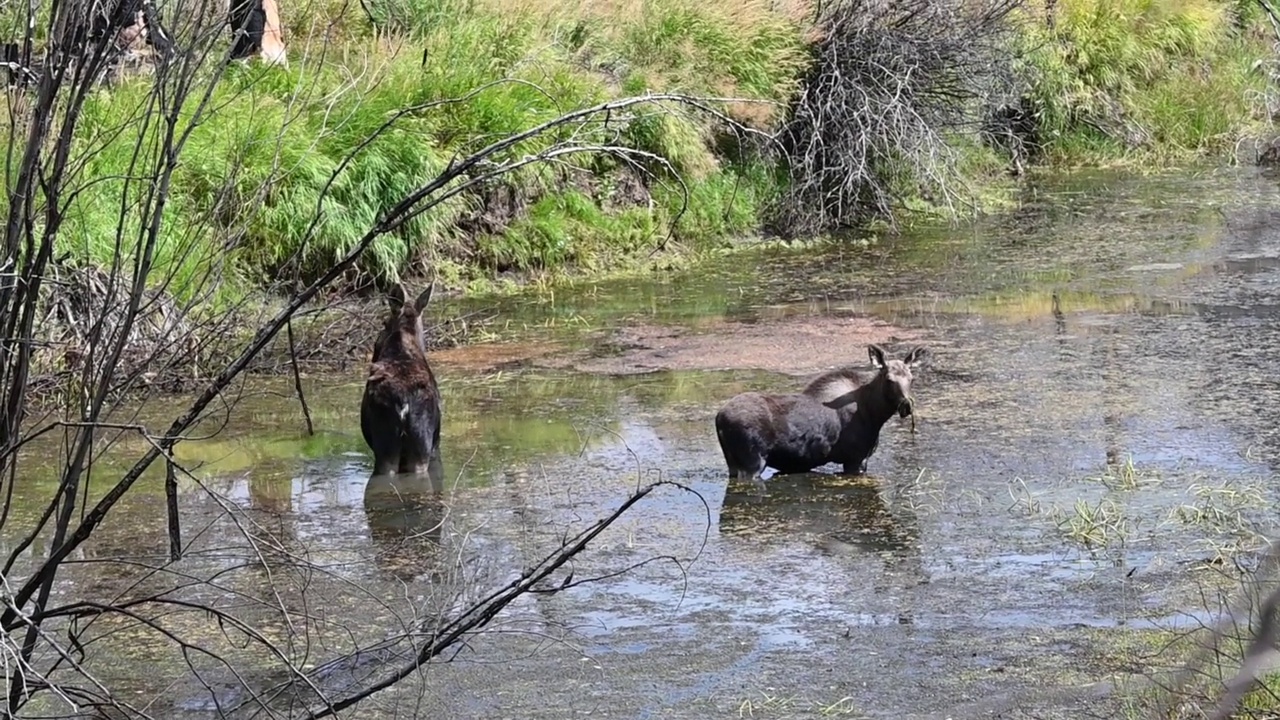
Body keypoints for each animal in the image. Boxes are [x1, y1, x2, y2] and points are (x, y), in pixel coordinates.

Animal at [716, 343, 926, 491]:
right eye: (889, 379)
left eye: (912, 378)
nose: (907, 405)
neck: (875, 414)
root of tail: (718, 418)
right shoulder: (855, 459)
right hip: (752, 462)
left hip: (733, 463)